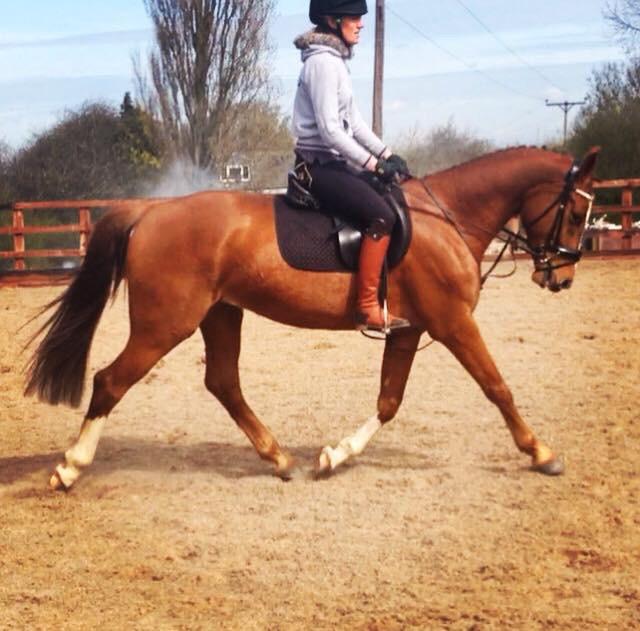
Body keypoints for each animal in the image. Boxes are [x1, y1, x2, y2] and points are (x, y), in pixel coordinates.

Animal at [24, 146, 599, 490]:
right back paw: (70, 468)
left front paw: (336, 455)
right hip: (165, 325)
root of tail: (151, 210)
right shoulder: (453, 322)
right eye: (575, 212)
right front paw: (541, 452)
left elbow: (389, 402)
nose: (562, 276)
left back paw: (278, 458)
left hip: (221, 315)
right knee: (110, 381)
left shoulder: (409, 329)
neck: (448, 218)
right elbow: (497, 387)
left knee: (223, 383)